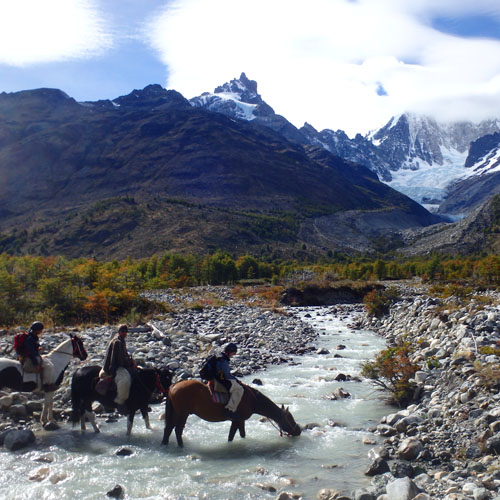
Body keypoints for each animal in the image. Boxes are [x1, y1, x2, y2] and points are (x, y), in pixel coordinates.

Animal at [162, 380, 300, 448]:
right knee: (178, 430)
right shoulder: (237, 420)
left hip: (175, 413)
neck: (253, 400)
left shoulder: (240, 420)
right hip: (183, 414)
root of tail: (173, 386)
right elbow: (231, 436)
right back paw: (181, 446)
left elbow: (241, 434)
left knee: (168, 428)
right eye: (290, 418)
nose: (298, 430)